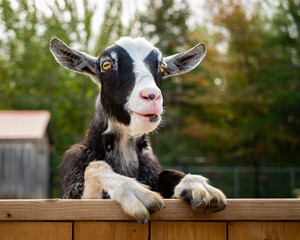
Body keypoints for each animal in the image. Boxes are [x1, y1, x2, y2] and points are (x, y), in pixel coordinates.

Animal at [50, 36, 226, 224]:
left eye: (162, 67)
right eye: (106, 64)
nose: (152, 96)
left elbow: (169, 172)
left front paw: (198, 185)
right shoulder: (73, 187)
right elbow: (95, 168)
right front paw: (133, 190)